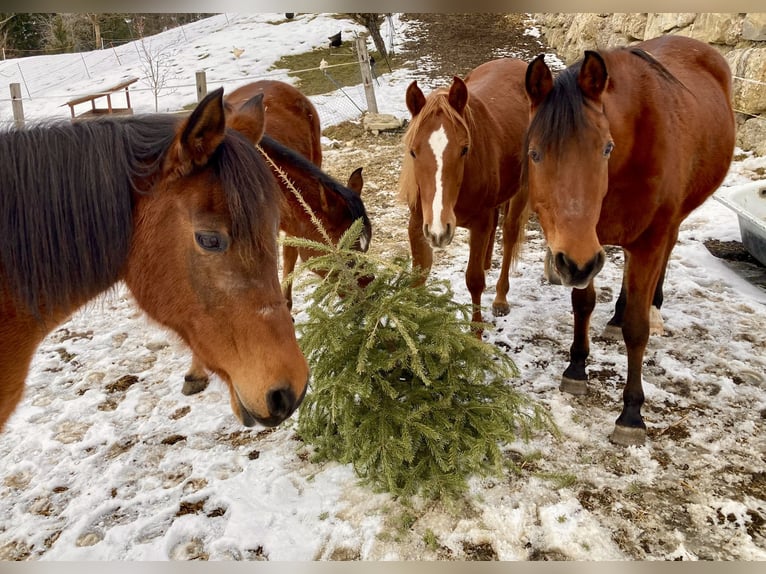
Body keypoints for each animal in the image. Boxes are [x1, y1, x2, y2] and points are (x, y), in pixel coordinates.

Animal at [400, 59, 532, 328]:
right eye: (413, 152)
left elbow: (474, 281)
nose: (439, 230)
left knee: (509, 234)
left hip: (521, 190)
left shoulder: (479, 223)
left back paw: (500, 297)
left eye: (464, 149)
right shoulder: (418, 224)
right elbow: (418, 277)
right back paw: (487, 261)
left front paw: (476, 331)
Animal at [524, 36, 736, 448]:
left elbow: (637, 331)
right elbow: (582, 304)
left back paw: (653, 304)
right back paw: (617, 314)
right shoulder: (586, 247)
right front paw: (576, 368)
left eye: (606, 148)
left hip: (666, 225)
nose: (572, 264)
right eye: (534, 153)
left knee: (666, 255)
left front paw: (632, 414)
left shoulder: (639, 242)